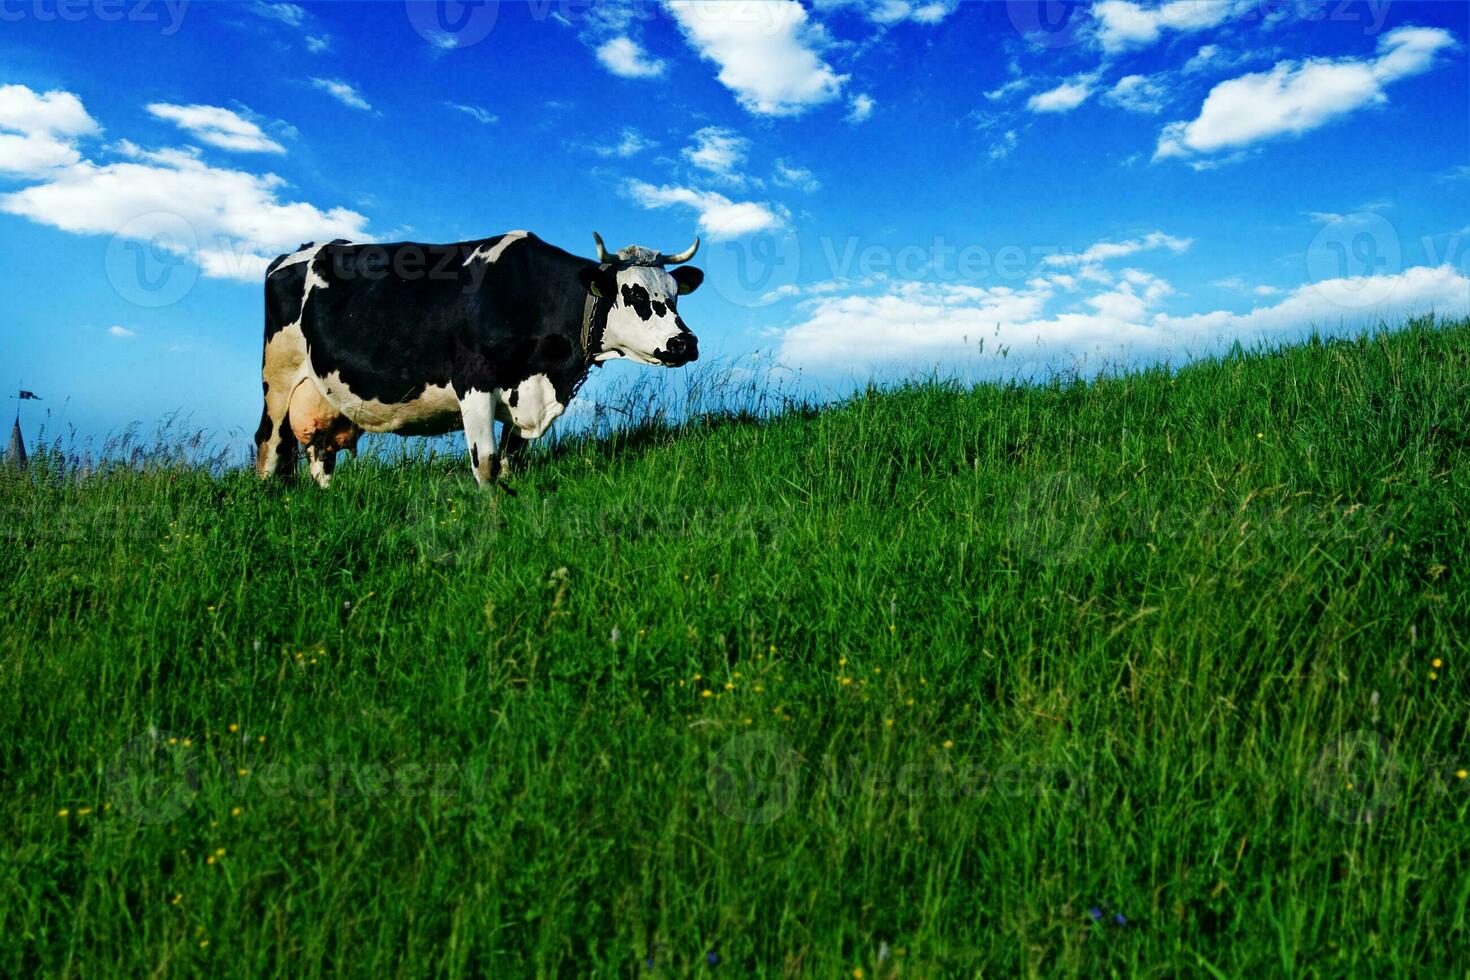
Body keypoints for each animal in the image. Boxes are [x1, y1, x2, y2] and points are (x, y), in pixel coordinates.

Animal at [255, 233, 702, 487]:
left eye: (674, 295)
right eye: (635, 294)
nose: (685, 342)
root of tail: (293, 254)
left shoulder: (525, 392)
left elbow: (511, 462)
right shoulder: (474, 383)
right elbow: (485, 465)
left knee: (319, 453)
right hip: (278, 378)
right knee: (270, 443)